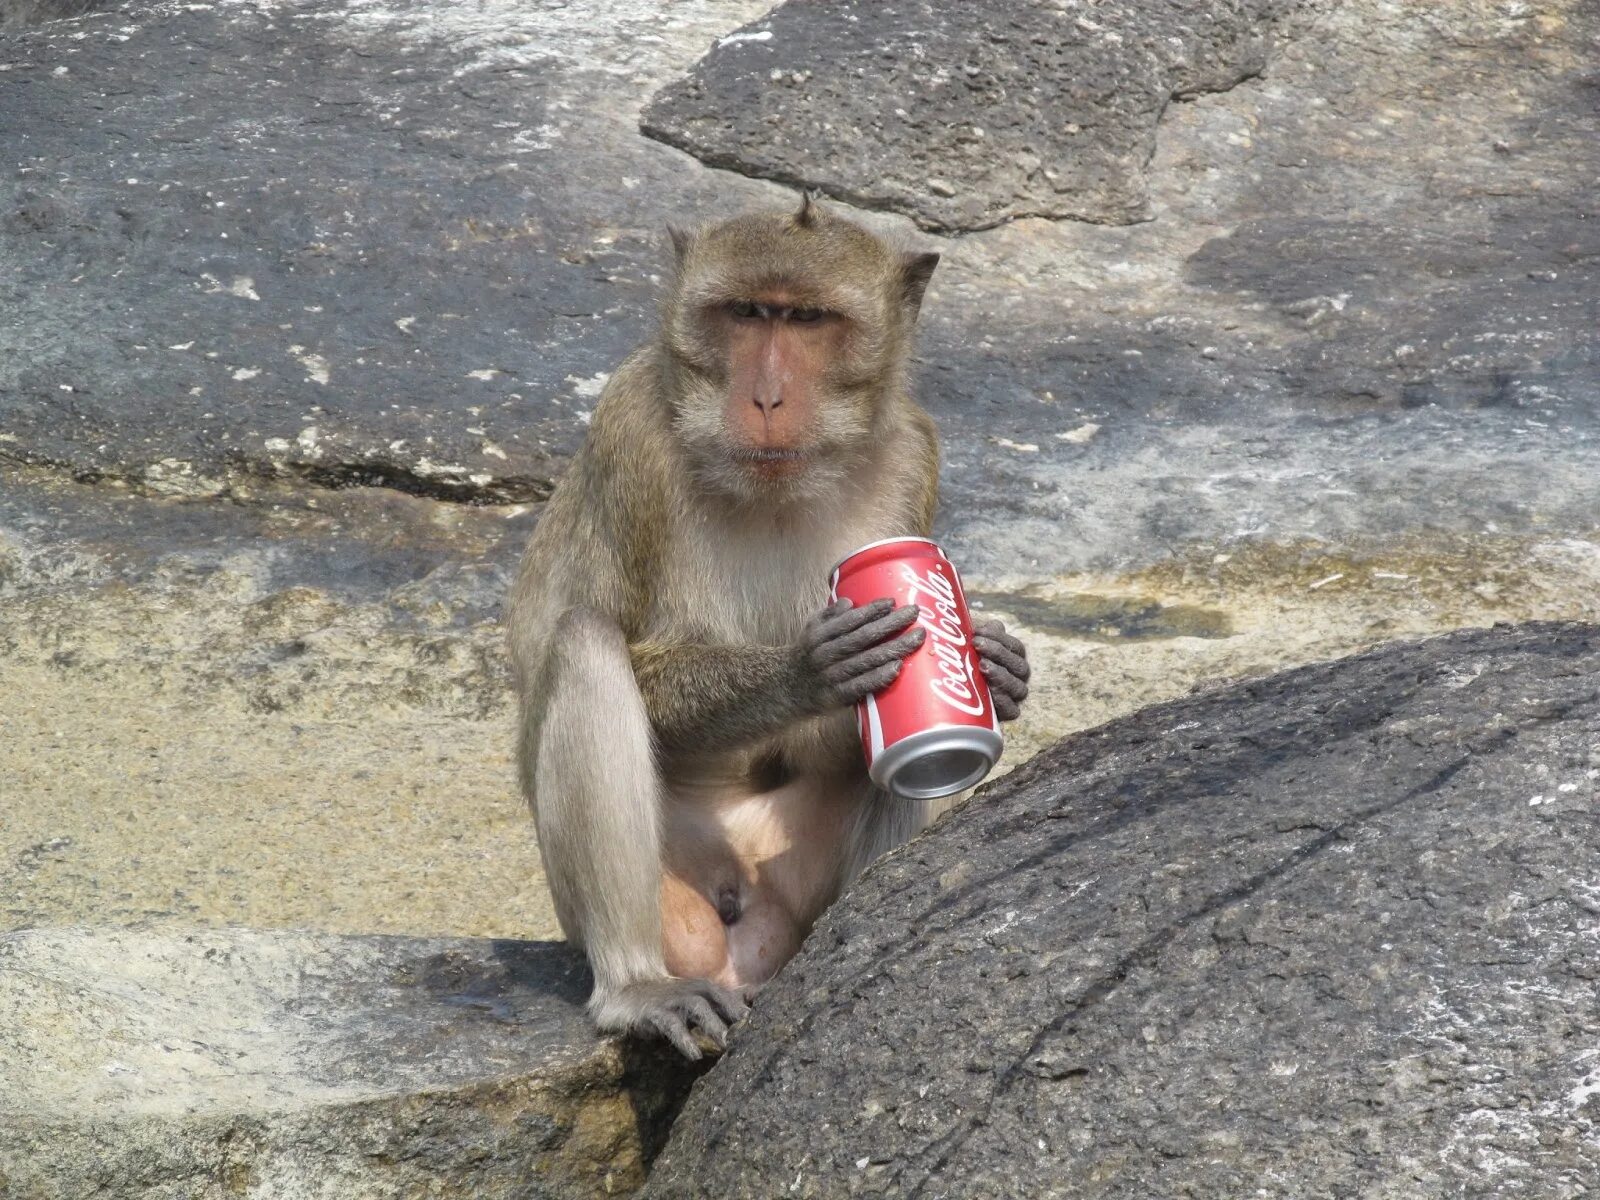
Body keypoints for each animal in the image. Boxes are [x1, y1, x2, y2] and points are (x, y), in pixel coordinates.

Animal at [512, 200, 1036, 1062]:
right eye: (748, 313)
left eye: (809, 319)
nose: (765, 399)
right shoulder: (630, 434)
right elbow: (628, 650)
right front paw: (809, 670)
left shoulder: (913, 454)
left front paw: (994, 666)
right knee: (585, 641)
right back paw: (637, 987)